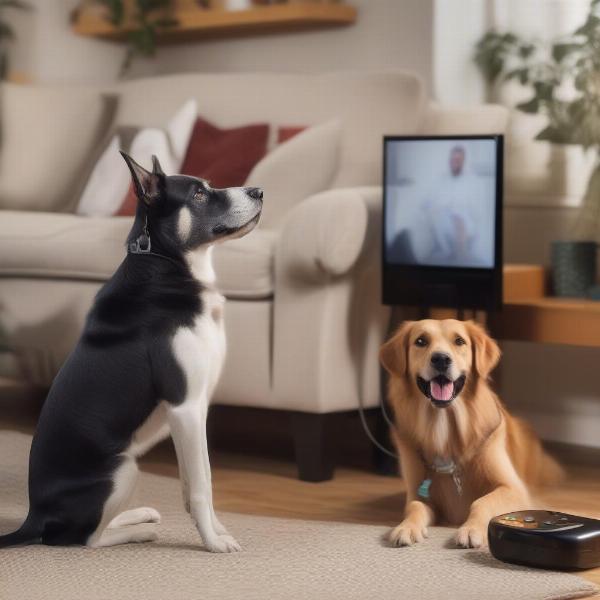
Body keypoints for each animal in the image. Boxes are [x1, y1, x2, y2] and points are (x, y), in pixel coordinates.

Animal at [0, 151, 262, 552]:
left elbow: (198, 479)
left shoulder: (195, 409)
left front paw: (216, 530)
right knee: (82, 538)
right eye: (199, 194)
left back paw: (136, 515)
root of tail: (34, 517)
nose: (259, 191)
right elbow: (201, 487)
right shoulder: (185, 406)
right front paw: (214, 543)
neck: (167, 265)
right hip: (123, 468)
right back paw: (137, 531)